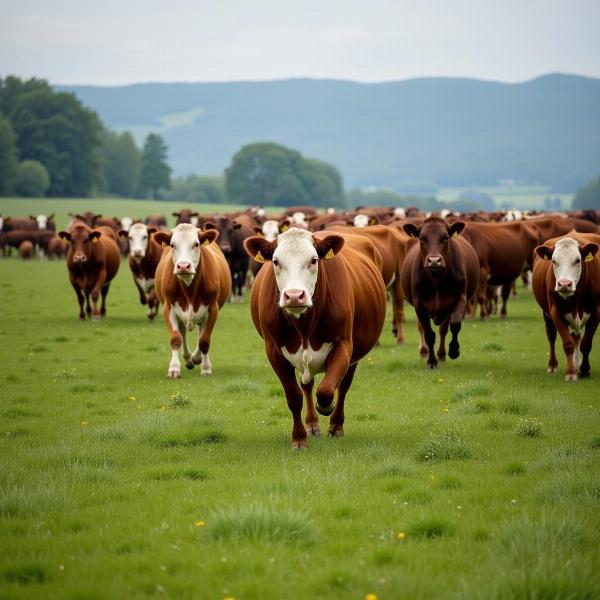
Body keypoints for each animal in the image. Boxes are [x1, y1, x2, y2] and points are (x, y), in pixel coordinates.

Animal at [154, 225, 231, 380]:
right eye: (172, 245)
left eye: (196, 244)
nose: (183, 266)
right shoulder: (168, 308)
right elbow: (176, 338)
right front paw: (174, 368)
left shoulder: (212, 309)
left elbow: (204, 341)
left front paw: (206, 368)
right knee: (183, 332)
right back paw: (188, 359)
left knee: (200, 332)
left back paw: (196, 358)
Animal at [244, 227, 384, 448]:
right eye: (275, 261)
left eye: (314, 260)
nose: (294, 296)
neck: (304, 327)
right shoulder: (273, 350)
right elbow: (294, 396)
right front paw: (299, 438)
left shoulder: (344, 345)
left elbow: (326, 390)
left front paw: (326, 407)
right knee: (307, 385)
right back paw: (312, 425)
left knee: (343, 386)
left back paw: (336, 425)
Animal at [400, 219, 480, 370]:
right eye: (422, 238)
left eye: (445, 238)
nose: (434, 260)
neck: (436, 280)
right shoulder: (419, 305)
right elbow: (429, 334)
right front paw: (432, 361)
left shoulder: (460, 299)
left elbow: (455, 325)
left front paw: (454, 350)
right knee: (423, 328)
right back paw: (425, 353)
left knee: (443, 330)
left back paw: (442, 354)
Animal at [536, 232, 600, 382]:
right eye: (554, 261)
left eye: (577, 260)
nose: (564, 284)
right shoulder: (555, 312)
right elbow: (568, 344)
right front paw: (571, 373)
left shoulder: (596, 312)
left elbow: (586, 343)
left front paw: (584, 370)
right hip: (546, 314)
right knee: (552, 337)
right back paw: (553, 365)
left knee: (577, 336)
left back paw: (577, 363)